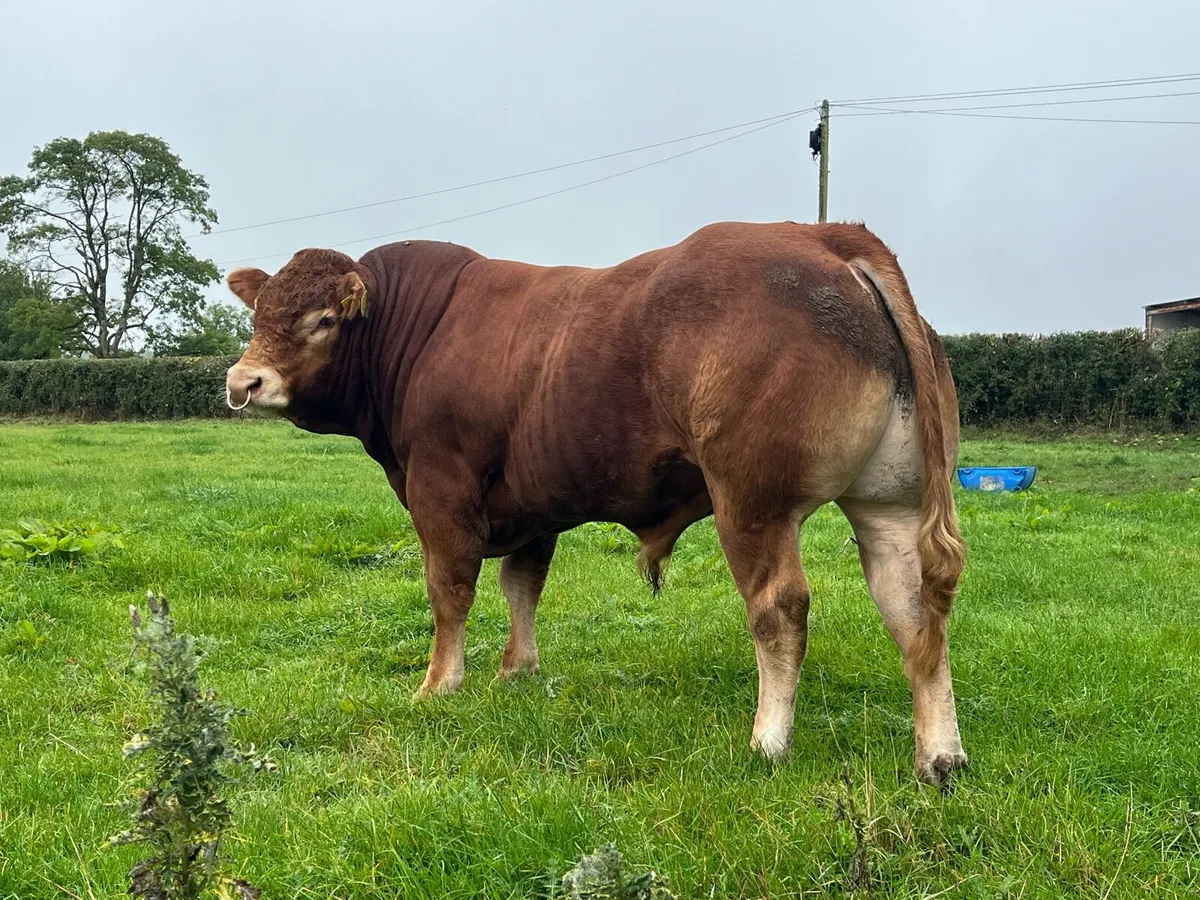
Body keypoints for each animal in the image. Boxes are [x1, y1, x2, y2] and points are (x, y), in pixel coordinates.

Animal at [224, 221, 968, 785]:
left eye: (324, 319)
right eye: (260, 314)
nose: (242, 381)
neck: (418, 331)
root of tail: (825, 236)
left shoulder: (441, 487)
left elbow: (449, 590)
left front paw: (440, 684)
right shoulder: (530, 504)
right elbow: (521, 584)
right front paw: (516, 671)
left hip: (752, 502)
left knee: (779, 607)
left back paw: (768, 741)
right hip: (888, 503)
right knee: (913, 609)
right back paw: (940, 755)